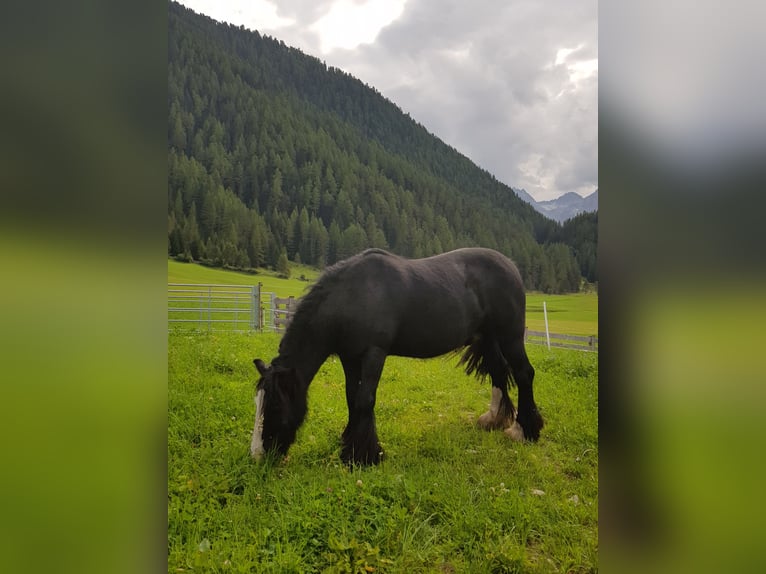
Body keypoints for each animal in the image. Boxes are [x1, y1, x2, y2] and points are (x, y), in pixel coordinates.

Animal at [251, 247, 544, 466]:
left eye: (274, 406)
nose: (259, 454)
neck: (352, 296)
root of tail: (510, 265)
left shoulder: (374, 354)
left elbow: (365, 400)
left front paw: (364, 456)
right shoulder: (350, 357)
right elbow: (351, 398)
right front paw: (349, 445)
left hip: (510, 336)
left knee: (524, 373)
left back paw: (523, 431)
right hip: (488, 338)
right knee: (498, 372)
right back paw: (494, 419)